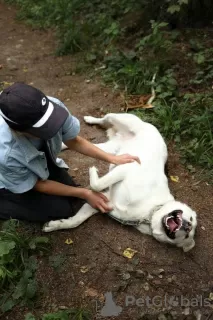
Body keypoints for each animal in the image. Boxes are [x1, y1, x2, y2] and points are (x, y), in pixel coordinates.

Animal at [43, 114, 198, 251]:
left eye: (187, 235)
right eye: (190, 217)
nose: (188, 225)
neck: (148, 213)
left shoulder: (100, 202)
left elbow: (75, 221)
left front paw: (55, 225)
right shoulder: (126, 168)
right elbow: (97, 184)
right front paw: (93, 172)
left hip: (109, 149)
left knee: (77, 144)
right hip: (120, 119)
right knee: (103, 119)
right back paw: (89, 119)